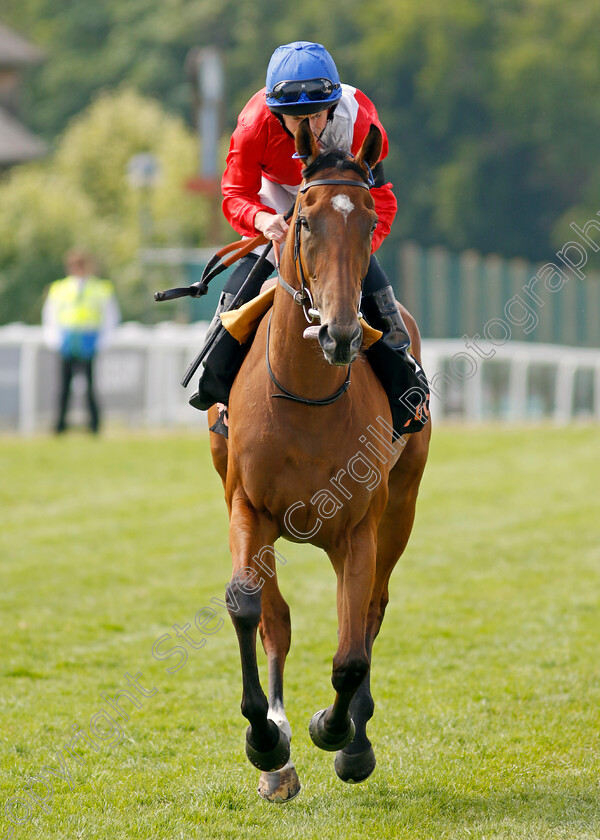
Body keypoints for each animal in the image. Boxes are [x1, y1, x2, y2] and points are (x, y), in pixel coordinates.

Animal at [209, 118, 428, 800]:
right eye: (303, 221)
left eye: (367, 221)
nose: (340, 333)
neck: (305, 396)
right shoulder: (246, 505)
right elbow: (249, 606)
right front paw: (266, 738)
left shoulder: (359, 524)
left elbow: (352, 647)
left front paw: (338, 732)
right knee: (277, 617)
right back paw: (278, 756)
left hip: (399, 507)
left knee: (370, 613)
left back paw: (355, 734)